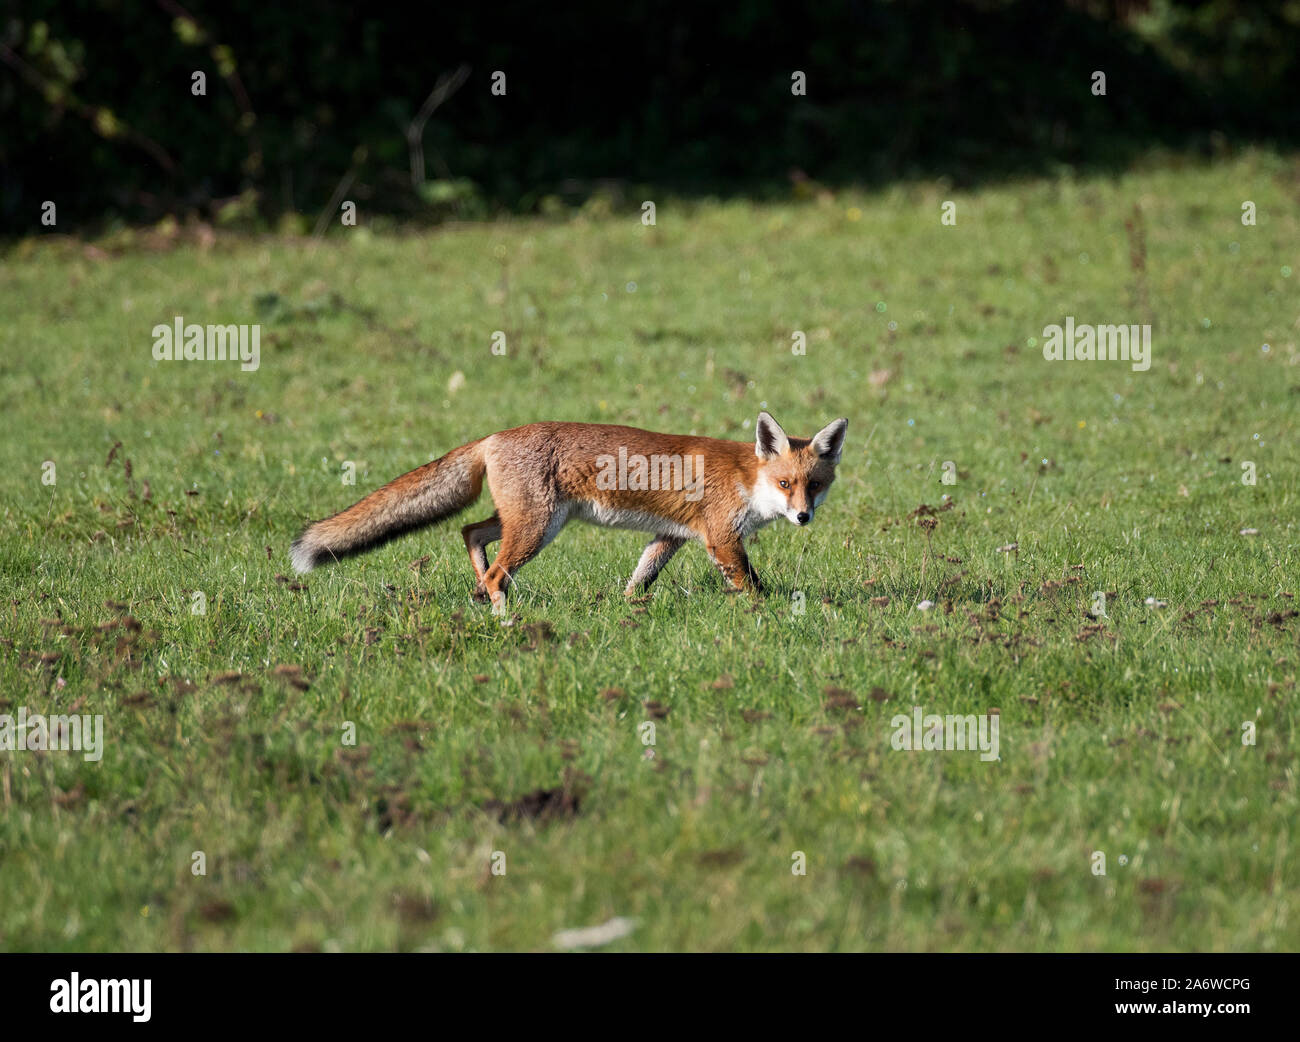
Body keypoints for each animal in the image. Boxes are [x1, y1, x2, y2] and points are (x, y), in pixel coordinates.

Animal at [290, 411, 847, 608]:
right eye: (785, 484)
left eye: (814, 486)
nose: (803, 517)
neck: (746, 479)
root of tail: (493, 435)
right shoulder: (721, 537)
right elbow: (752, 584)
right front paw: (768, 615)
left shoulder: (671, 536)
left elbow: (640, 577)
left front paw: (627, 609)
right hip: (537, 529)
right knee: (496, 570)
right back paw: (505, 619)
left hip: (526, 522)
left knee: (471, 533)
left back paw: (479, 593)